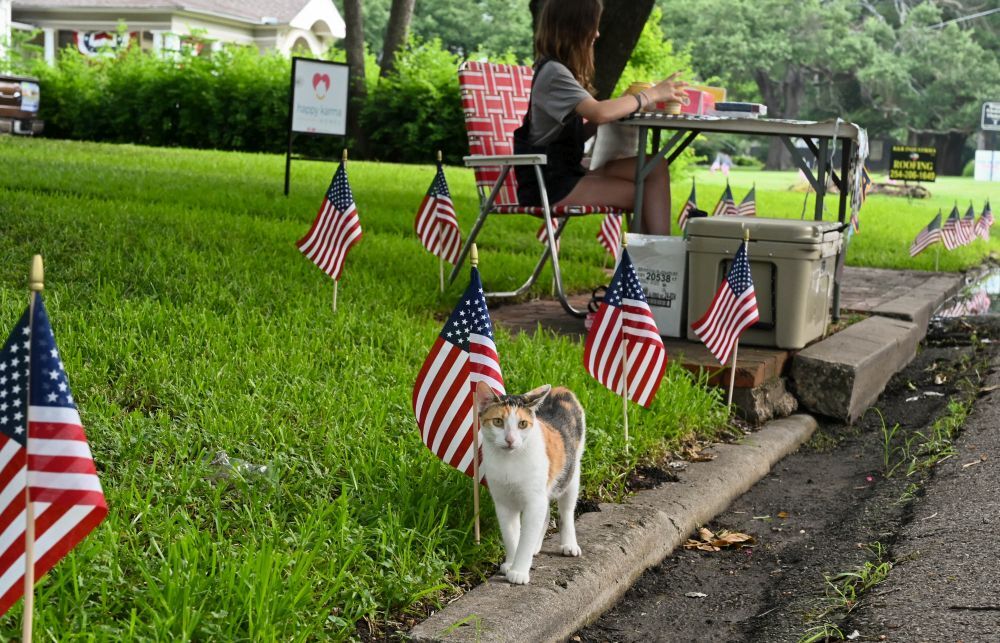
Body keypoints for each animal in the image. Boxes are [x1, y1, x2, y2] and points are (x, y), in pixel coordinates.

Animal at [476, 382, 584, 588]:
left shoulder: (534, 501)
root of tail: (560, 388)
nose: (510, 439)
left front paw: (519, 571)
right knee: (547, 512)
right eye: (498, 422)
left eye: (522, 424)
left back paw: (569, 544)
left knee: (566, 511)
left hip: (571, 472)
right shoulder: (503, 503)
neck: (509, 462)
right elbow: (511, 535)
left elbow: (526, 537)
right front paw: (511, 563)